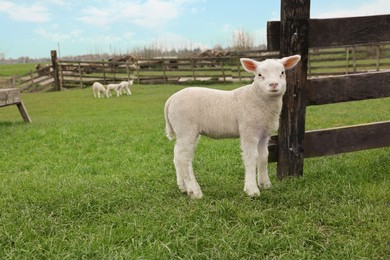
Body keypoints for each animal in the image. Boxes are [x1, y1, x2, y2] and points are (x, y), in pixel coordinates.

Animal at [165, 54, 302, 199]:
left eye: (282, 72)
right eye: (259, 75)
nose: (273, 84)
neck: (257, 98)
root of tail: (171, 99)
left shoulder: (264, 134)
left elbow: (264, 156)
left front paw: (265, 184)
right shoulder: (248, 131)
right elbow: (251, 157)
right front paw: (252, 190)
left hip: (187, 131)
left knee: (178, 155)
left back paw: (183, 187)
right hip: (186, 128)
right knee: (183, 157)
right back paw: (194, 191)